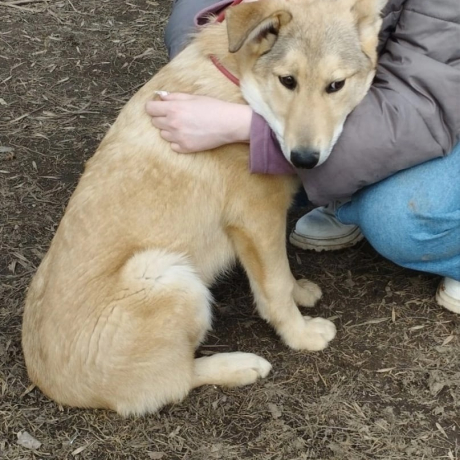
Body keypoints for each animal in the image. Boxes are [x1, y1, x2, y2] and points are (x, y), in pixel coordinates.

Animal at [23, 0, 386, 416]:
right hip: (165, 274)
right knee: (173, 381)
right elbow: (274, 287)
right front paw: (300, 335)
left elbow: (280, 274)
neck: (240, 82)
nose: (304, 159)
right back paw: (239, 365)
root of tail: (53, 385)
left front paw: (300, 292)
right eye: (288, 81)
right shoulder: (256, 219)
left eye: (335, 86)